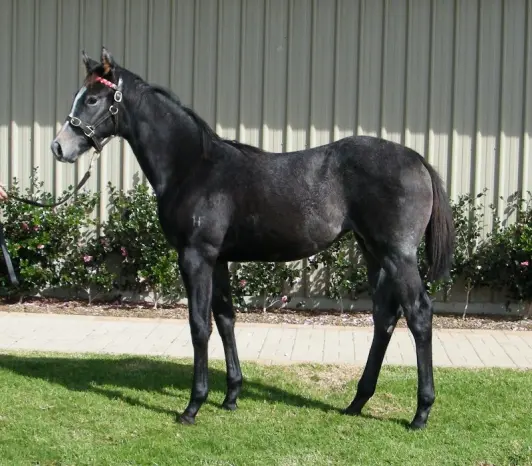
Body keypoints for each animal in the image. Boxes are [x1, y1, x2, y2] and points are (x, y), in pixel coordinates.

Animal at [50, 47, 455, 430]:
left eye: (91, 99)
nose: (59, 147)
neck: (192, 167)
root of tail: (417, 158)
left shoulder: (195, 257)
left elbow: (199, 326)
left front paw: (193, 406)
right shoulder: (218, 259)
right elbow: (225, 318)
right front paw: (230, 396)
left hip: (397, 255)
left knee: (418, 313)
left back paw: (421, 413)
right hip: (372, 252)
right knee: (384, 316)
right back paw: (357, 402)